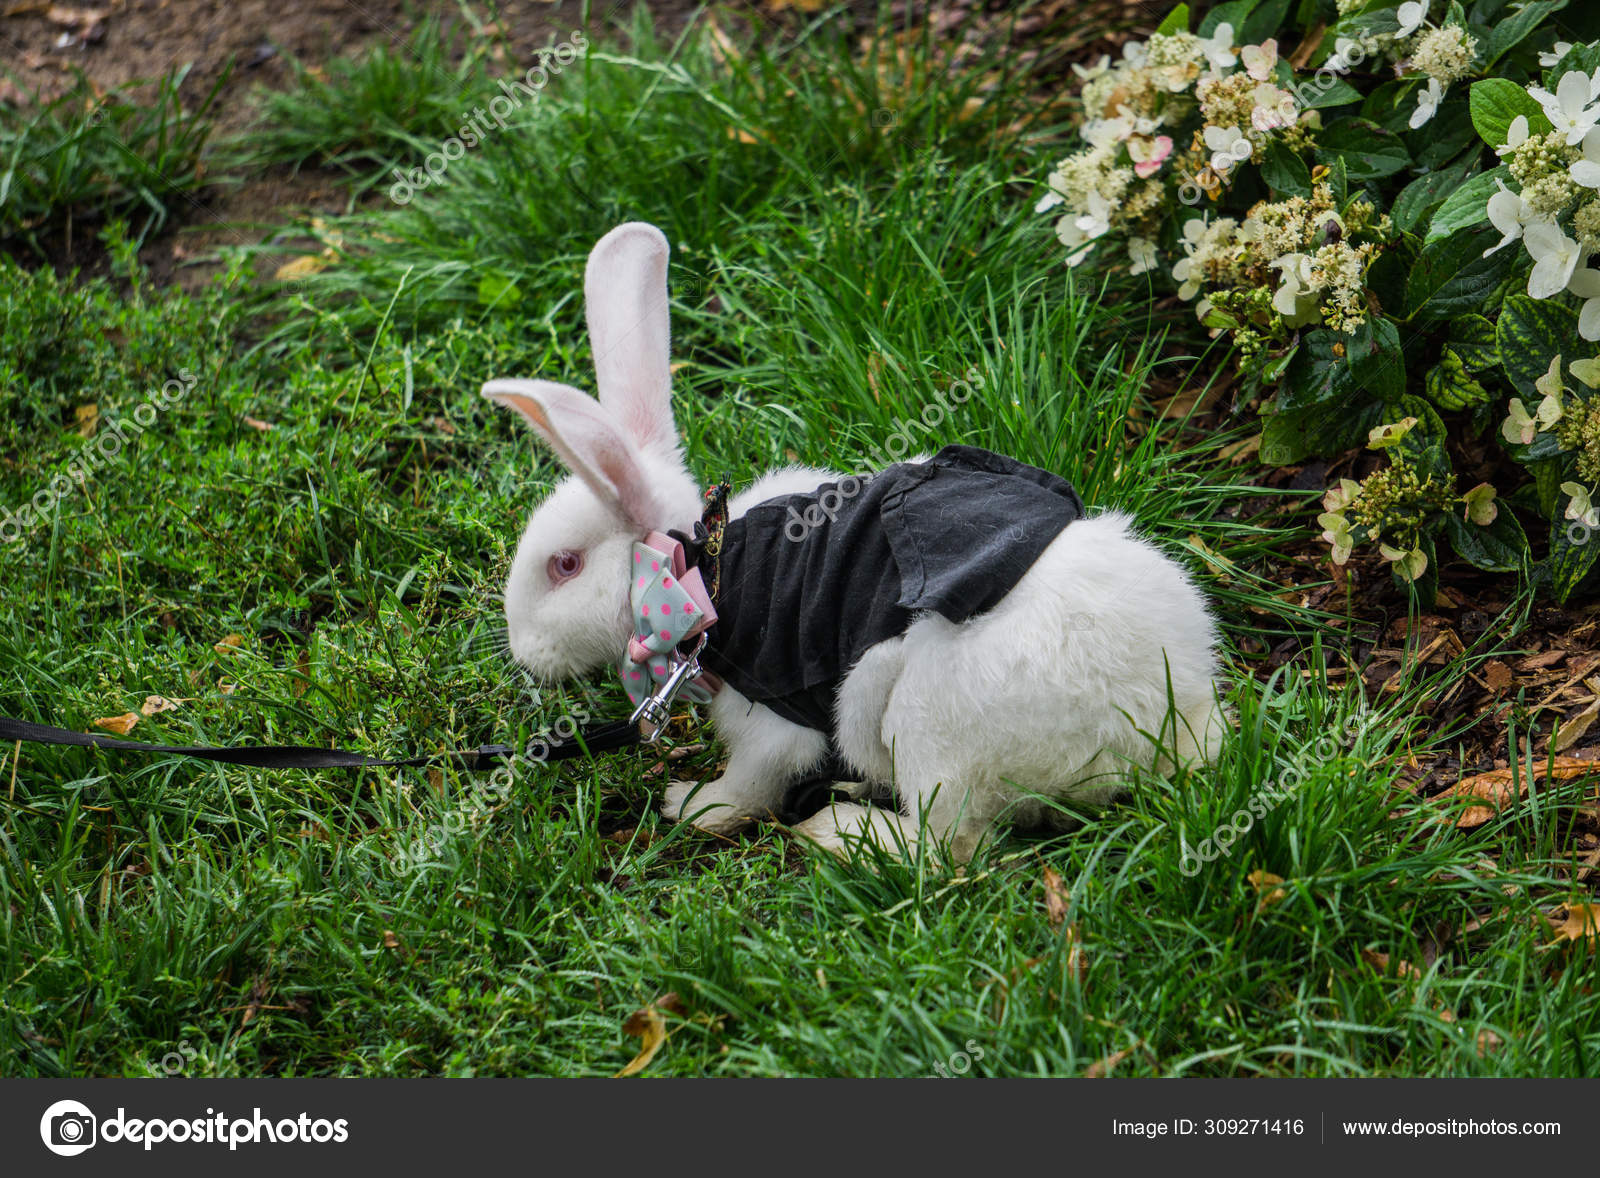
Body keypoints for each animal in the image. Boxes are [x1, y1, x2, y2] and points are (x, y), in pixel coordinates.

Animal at [483, 222, 1226, 863]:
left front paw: (689, 804)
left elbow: (751, 782)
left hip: (917, 720)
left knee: (947, 847)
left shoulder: (772, 716)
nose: (522, 653)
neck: (697, 569)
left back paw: (835, 831)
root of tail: (1166, 724)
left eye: (565, 565)